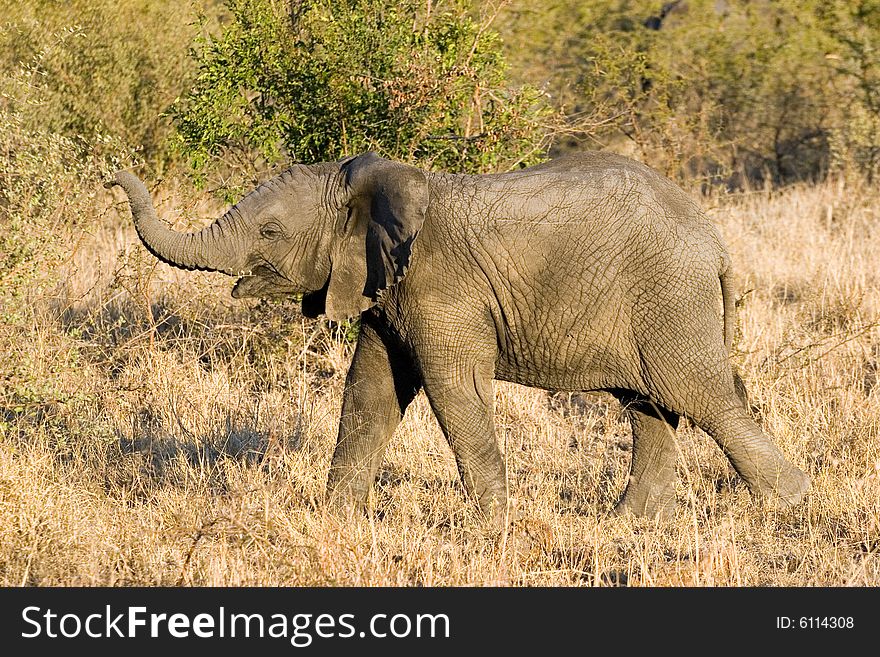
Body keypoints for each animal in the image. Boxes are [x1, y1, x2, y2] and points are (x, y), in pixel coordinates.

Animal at [110, 151, 812, 524]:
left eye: (270, 233)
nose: (111, 175)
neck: (374, 185)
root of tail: (715, 239)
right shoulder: (384, 293)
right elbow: (371, 394)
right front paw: (338, 518)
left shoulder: (441, 291)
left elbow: (455, 391)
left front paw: (491, 528)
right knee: (651, 409)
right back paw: (626, 526)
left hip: (670, 297)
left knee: (705, 398)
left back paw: (790, 506)